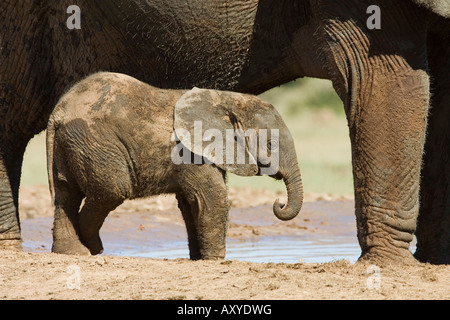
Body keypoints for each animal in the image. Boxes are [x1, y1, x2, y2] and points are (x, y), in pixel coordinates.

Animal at [47, 71, 304, 258]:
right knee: (112, 190)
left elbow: (191, 204)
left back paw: (72, 253)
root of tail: (58, 111)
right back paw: (93, 248)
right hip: (94, 141)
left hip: (71, 144)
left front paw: (198, 259)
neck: (227, 100)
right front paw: (215, 261)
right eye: (270, 143)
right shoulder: (190, 151)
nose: (278, 203)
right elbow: (212, 198)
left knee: (66, 194)